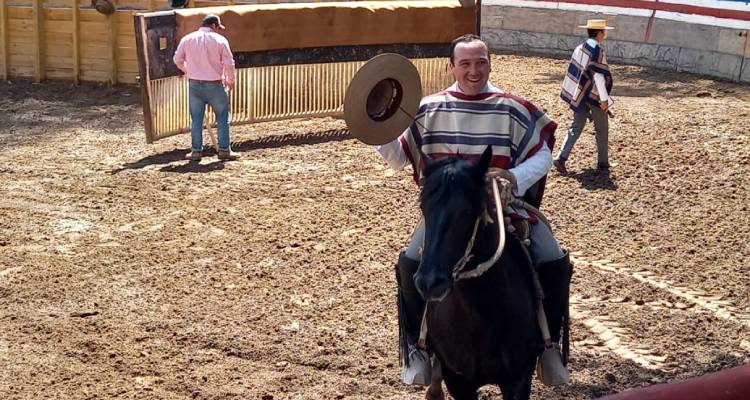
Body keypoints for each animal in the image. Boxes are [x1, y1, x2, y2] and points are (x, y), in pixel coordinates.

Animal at [418, 147, 548, 400]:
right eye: (423, 207)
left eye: (467, 210)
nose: (429, 282)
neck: (480, 317)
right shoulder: (458, 381)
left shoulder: (518, 378)